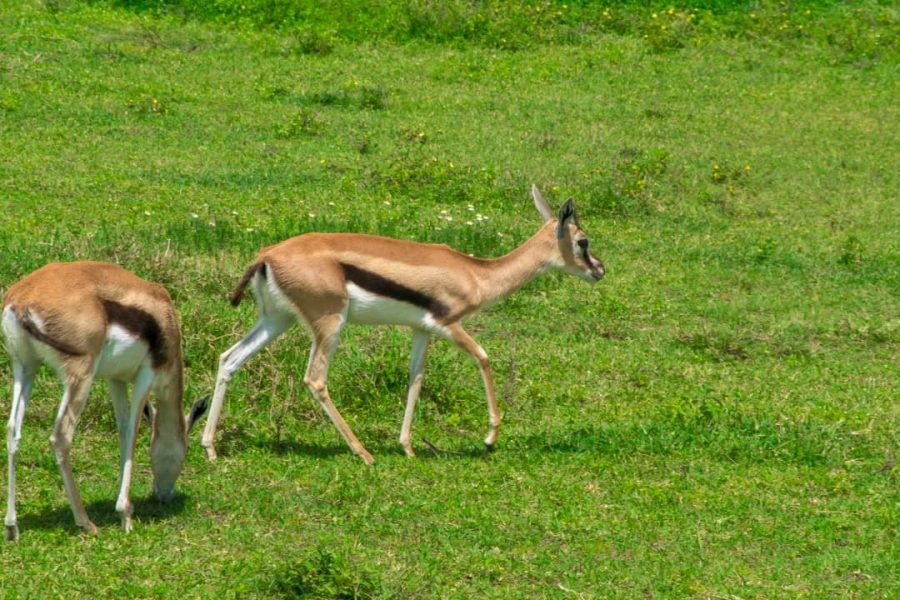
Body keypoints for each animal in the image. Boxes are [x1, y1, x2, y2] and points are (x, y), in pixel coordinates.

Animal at [2, 261, 207, 540]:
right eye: (185, 452)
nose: (164, 495)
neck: (164, 319)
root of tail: (22, 300)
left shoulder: (115, 379)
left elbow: (122, 429)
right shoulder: (146, 375)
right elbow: (132, 432)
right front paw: (125, 515)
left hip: (25, 367)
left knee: (13, 431)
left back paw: (12, 527)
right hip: (80, 375)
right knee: (61, 436)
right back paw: (85, 522)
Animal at [201, 185, 604, 463]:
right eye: (583, 241)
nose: (599, 270)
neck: (477, 274)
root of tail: (266, 255)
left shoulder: (422, 330)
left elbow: (416, 379)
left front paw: (408, 447)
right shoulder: (448, 323)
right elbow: (484, 357)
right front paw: (490, 438)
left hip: (277, 320)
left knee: (229, 359)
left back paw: (210, 448)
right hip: (329, 323)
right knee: (315, 379)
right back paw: (363, 453)